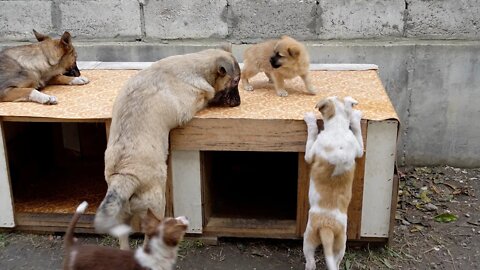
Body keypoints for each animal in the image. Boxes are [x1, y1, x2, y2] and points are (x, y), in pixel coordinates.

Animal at [95, 46, 242, 249]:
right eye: (235, 82)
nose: (239, 103)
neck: (197, 68)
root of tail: (125, 176)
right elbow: (206, 96)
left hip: (122, 216)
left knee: (124, 241)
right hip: (157, 204)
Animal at [304, 96, 364, 270]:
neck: (337, 126)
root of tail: (328, 227)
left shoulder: (310, 153)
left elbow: (312, 134)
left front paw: (310, 119)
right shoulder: (358, 149)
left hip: (308, 238)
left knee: (311, 262)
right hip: (341, 244)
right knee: (335, 263)